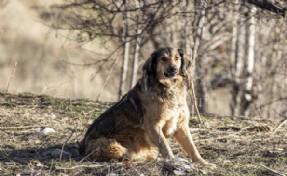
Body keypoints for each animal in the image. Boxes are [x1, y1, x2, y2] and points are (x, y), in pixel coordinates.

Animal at [79, 47, 216, 168]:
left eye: (177, 58)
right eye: (163, 59)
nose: (174, 69)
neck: (169, 87)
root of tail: (82, 147)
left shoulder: (180, 125)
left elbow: (192, 147)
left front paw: (203, 163)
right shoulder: (153, 125)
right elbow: (165, 145)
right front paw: (172, 160)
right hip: (109, 144)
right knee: (126, 155)